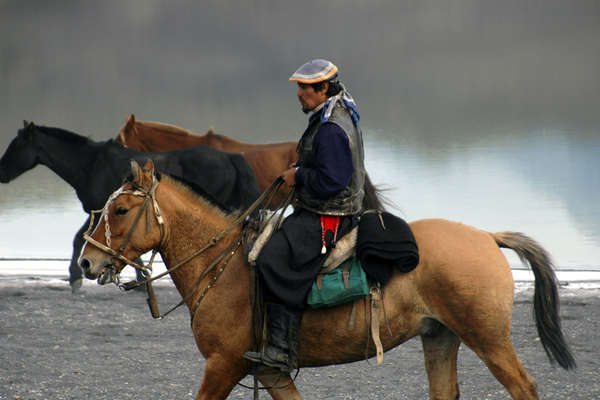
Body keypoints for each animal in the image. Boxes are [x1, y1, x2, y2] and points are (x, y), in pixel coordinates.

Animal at [0, 120, 262, 292]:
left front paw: (75, 278)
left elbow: (80, 239)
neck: (90, 164)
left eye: (16, 145)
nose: (2, 172)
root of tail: (231, 157)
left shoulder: (101, 208)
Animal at [77, 160, 576, 400]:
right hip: (440, 337)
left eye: (121, 209)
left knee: (524, 387)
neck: (223, 264)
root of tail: (487, 237)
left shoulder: (223, 366)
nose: (86, 261)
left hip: (488, 338)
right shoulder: (269, 372)